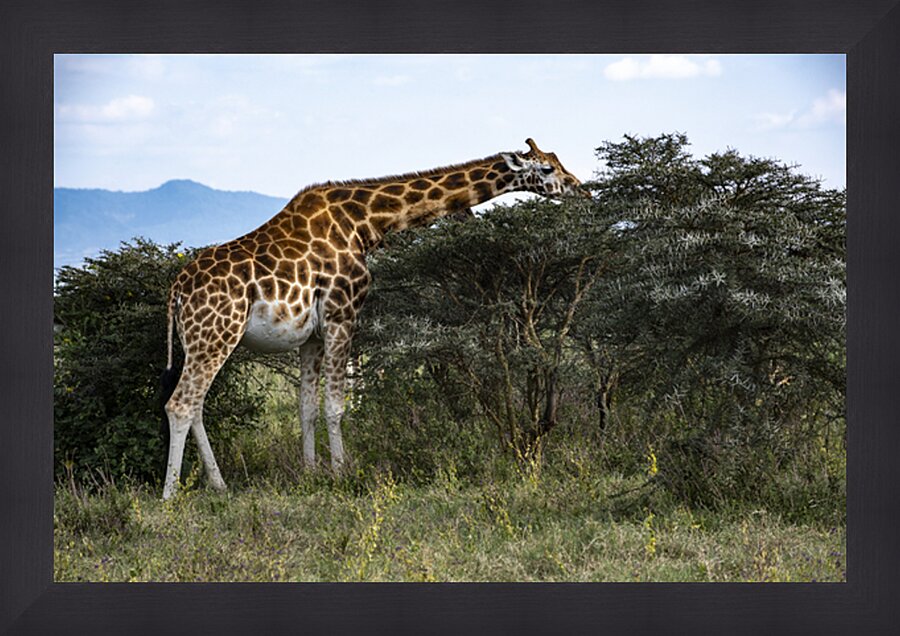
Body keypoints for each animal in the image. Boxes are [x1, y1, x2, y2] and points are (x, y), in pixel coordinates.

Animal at [160, 138, 586, 499]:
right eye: (547, 168)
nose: (581, 189)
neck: (365, 223)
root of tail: (177, 289)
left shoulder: (312, 335)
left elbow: (306, 407)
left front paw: (310, 473)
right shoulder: (342, 313)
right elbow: (336, 405)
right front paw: (343, 474)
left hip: (201, 340)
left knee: (196, 405)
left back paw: (219, 485)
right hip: (216, 333)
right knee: (180, 404)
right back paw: (170, 495)